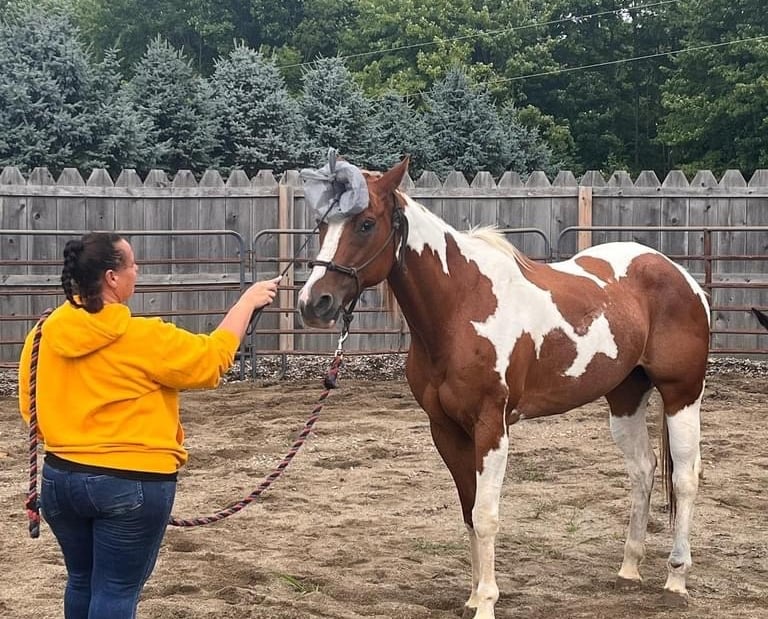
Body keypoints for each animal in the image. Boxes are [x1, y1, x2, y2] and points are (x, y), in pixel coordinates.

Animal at [297, 157, 710, 619]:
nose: (314, 303)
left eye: (366, 223)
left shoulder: (491, 427)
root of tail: (681, 276)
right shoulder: (446, 429)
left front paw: (487, 603)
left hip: (682, 395)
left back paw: (676, 578)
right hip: (625, 398)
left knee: (685, 478)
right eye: (322, 223)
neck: (461, 307)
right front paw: (473, 595)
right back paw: (629, 569)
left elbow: (486, 514)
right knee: (643, 469)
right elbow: (468, 510)